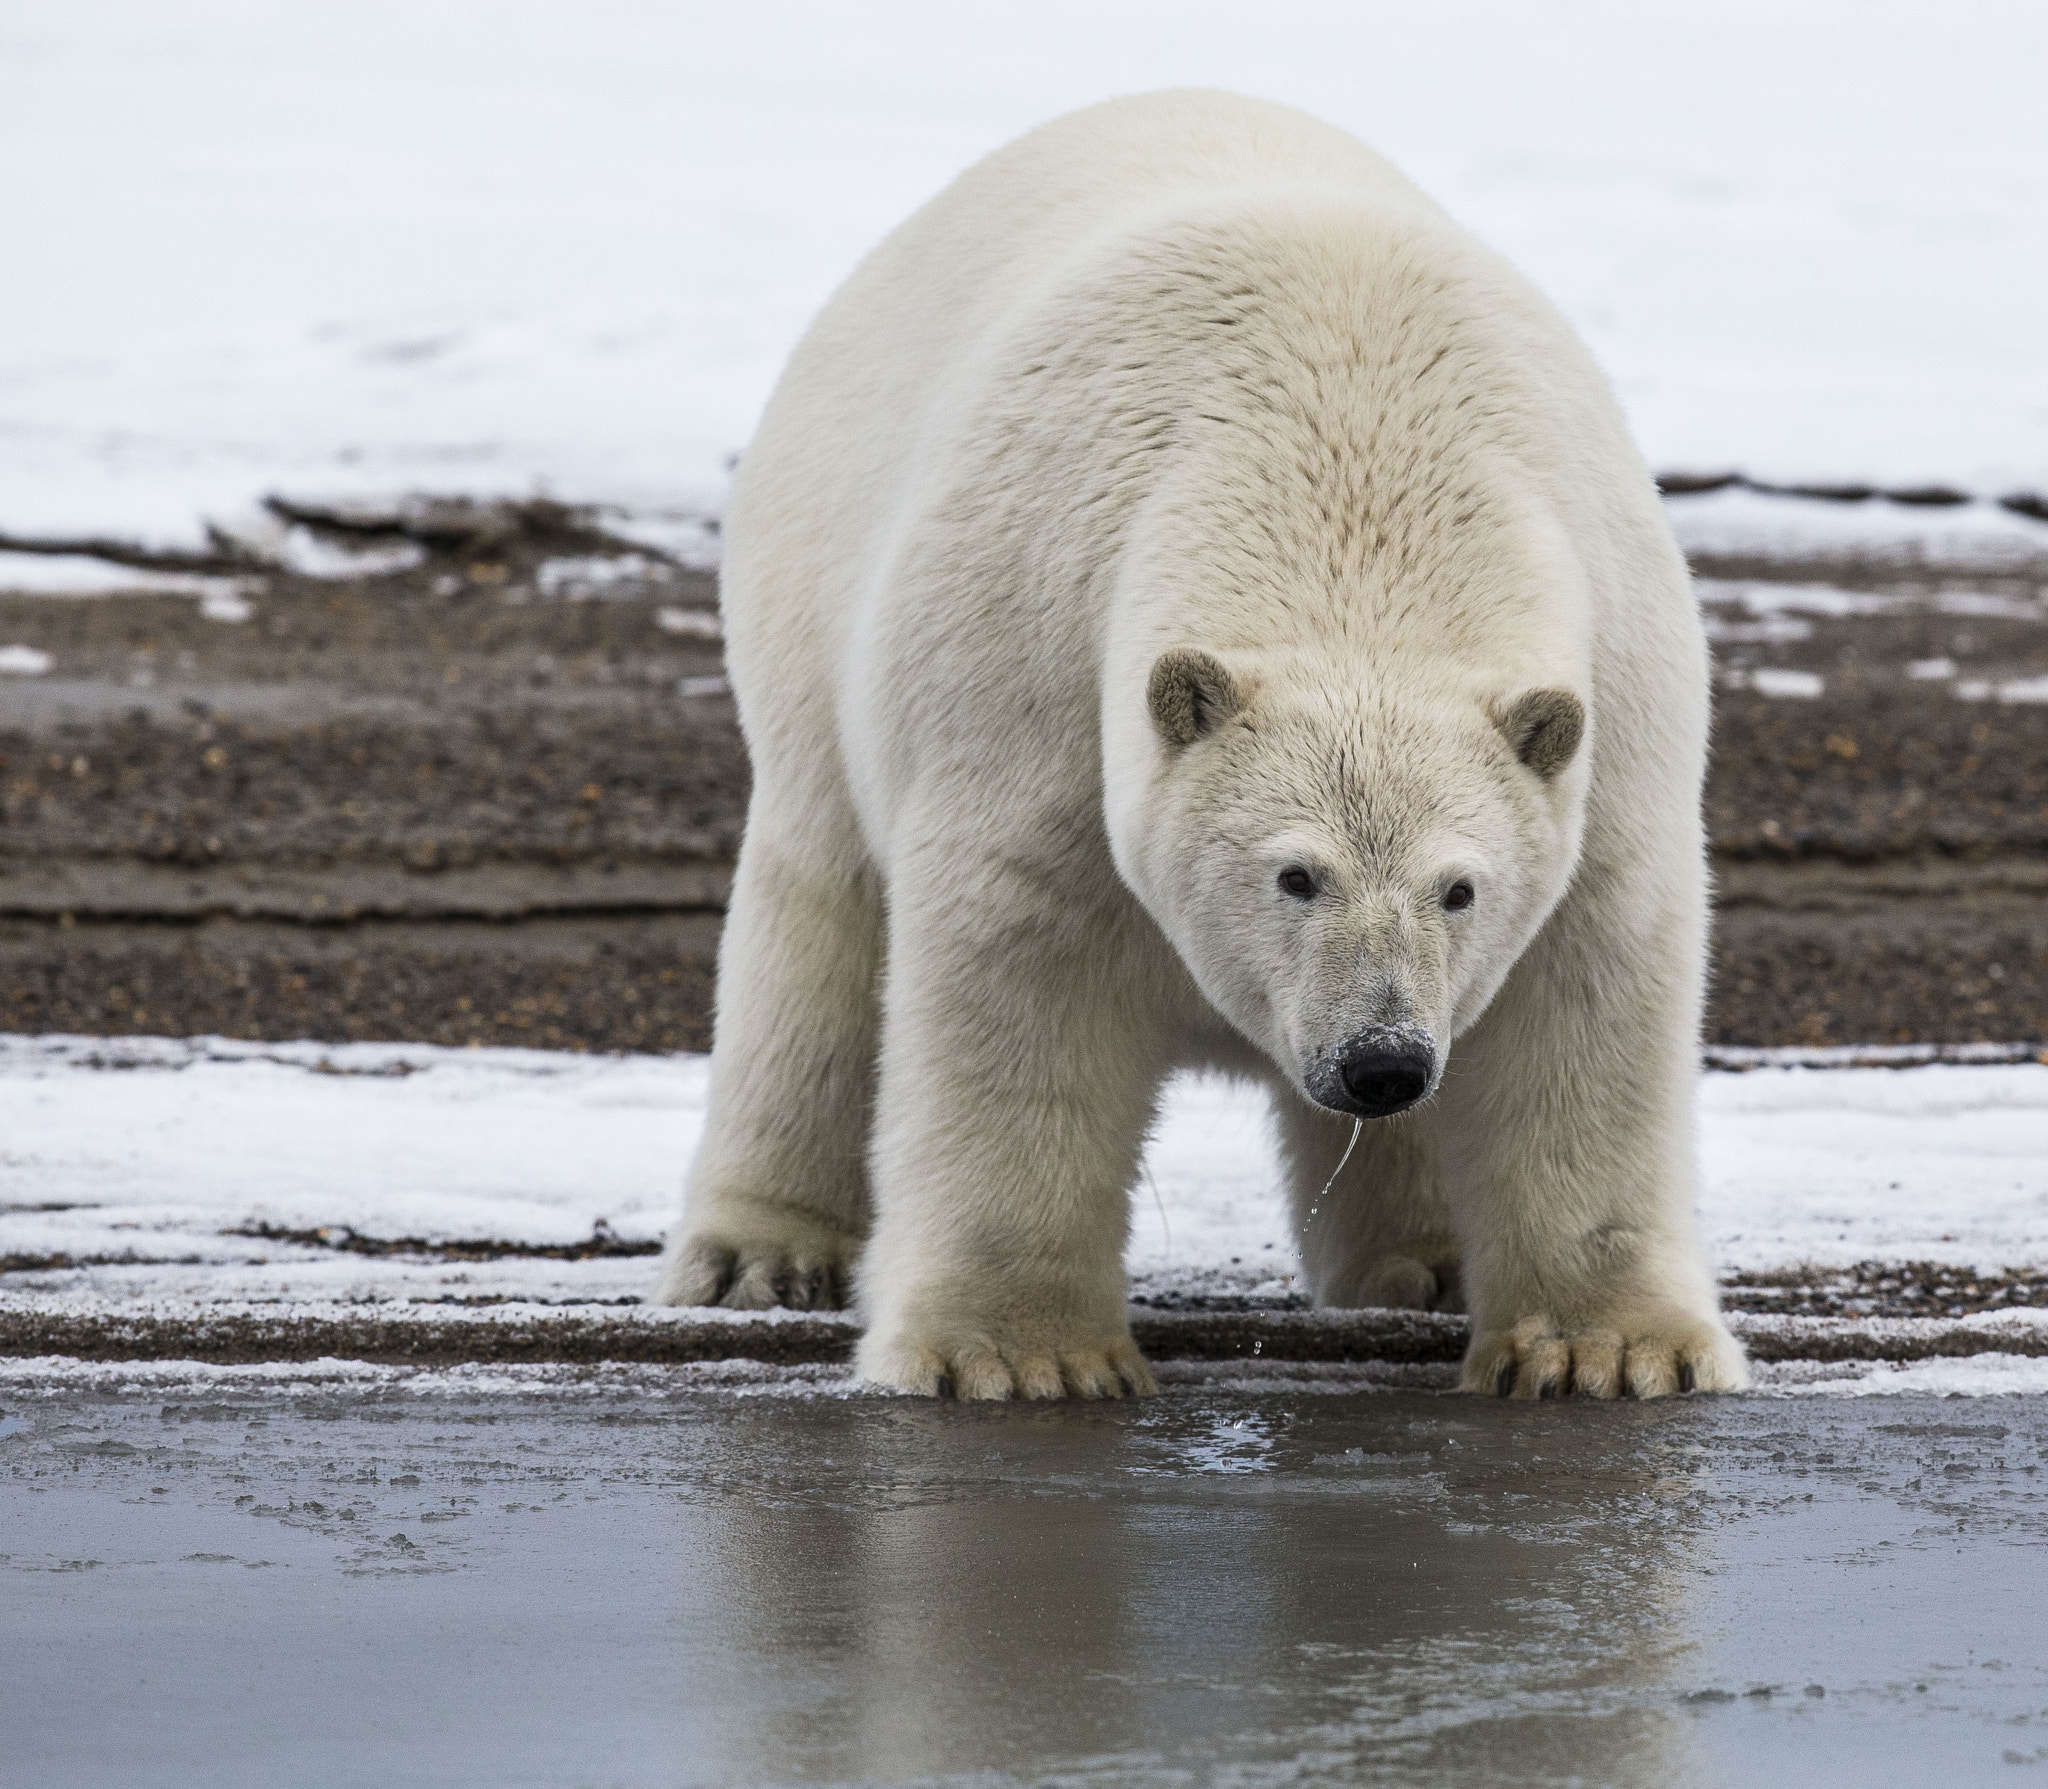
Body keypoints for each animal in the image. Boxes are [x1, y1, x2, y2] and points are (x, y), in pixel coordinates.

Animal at [655, 86, 1744, 1391]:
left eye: (1459, 888)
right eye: (1294, 873)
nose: (1380, 1058)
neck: (1349, 442)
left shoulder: (1609, 713)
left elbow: (1583, 1001)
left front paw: (1610, 1353)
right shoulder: (1039, 687)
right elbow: (1018, 979)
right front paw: (1020, 1356)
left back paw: (1422, 1260)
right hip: (813, 591)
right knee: (817, 911)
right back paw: (760, 1255)